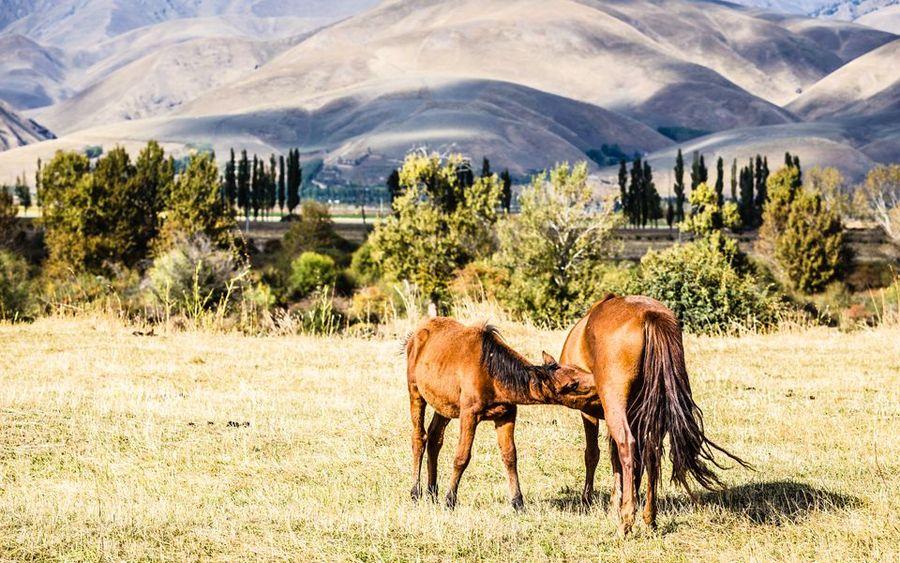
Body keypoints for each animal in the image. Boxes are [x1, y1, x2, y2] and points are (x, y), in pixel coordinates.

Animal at [404, 318, 596, 512]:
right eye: (572, 385)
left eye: (576, 369)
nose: (596, 382)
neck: (492, 374)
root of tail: (415, 335)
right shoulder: (469, 415)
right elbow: (461, 457)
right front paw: (450, 499)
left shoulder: (506, 415)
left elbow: (509, 456)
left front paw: (518, 502)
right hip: (416, 393)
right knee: (419, 437)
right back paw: (415, 492)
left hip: (443, 406)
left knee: (435, 439)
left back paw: (432, 492)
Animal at [560, 296, 748, 536]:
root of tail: (649, 315)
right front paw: (619, 501)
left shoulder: (589, 412)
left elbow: (594, 454)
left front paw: (592, 500)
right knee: (652, 451)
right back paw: (649, 516)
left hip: (615, 406)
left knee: (627, 446)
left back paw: (626, 521)